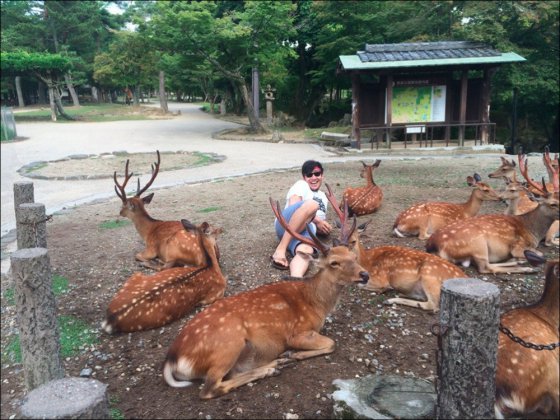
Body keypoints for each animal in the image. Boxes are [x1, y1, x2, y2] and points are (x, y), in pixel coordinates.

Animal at [162, 196, 370, 398]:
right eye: (334, 262)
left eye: (353, 256)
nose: (365, 275)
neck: (317, 304)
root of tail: (172, 359)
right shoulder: (297, 332)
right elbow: (332, 343)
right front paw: (294, 354)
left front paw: (290, 356)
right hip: (228, 343)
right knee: (210, 389)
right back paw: (273, 366)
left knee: (232, 374)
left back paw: (275, 364)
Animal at [326, 184, 466, 312]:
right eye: (337, 239)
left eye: (353, 241)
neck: (367, 261)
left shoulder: (380, 279)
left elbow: (363, 285)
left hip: (430, 277)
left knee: (433, 305)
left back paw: (391, 299)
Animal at [426, 156, 556, 274]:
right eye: (553, 204)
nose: (500, 198)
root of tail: (431, 246)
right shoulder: (518, 246)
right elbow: (540, 253)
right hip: (479, 246)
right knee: (485, 267)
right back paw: (527, 268)